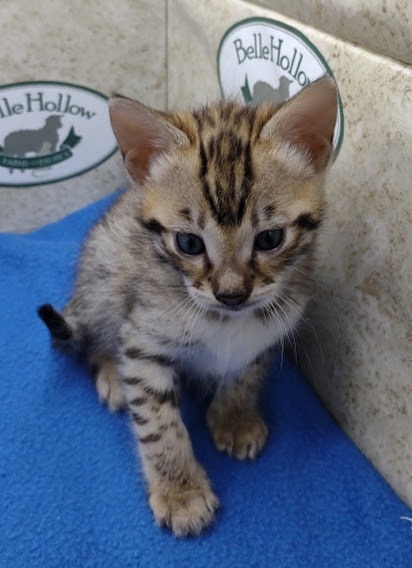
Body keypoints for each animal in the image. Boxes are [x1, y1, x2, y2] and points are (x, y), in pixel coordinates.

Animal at [38, 76, 338, 537]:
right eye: (189, 244)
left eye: (270, 239)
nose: (231, 294)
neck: (225, 320)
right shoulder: (143, 339)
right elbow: (157, 423)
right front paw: (180, 492)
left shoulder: (271, 329)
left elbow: (246, 372)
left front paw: (234, 415)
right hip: (104, 274)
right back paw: (111, 372)